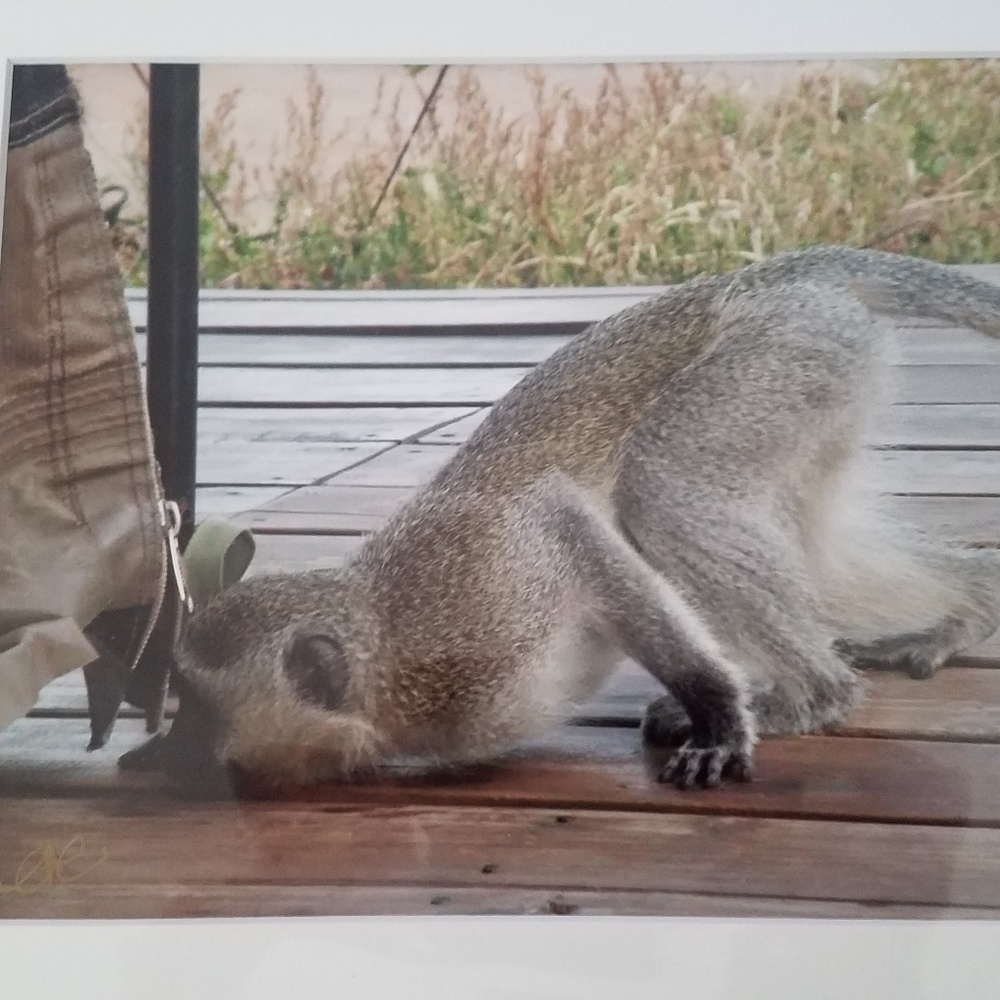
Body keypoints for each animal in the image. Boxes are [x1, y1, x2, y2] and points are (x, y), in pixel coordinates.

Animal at [136, 246, 1000, 796]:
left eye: (201, 712)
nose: (159, 754)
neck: (386, 677)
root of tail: (765, 277)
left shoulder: (479, 597)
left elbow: (570, 524)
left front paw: (720, 715)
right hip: (816, 365)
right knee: (810, 540)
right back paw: (973, 603)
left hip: (771, 357)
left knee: (663, 490)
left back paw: (811, 694)